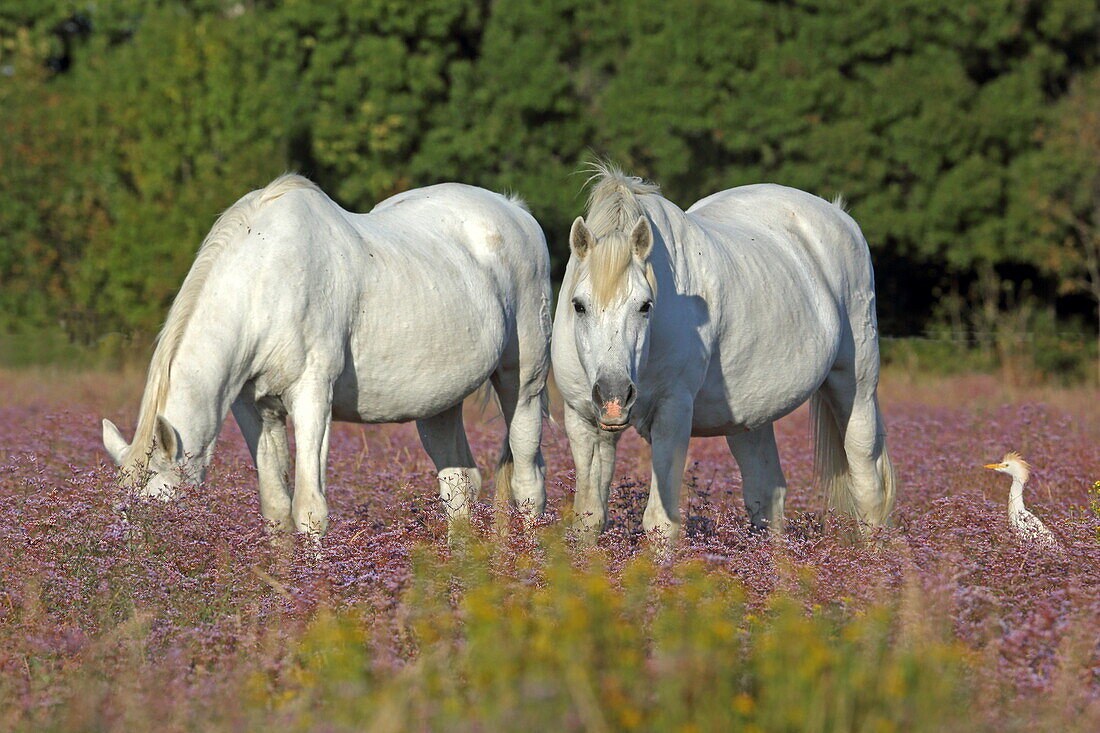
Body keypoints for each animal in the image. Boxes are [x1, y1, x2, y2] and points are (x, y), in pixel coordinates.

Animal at [102, 173, 550, 534]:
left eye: (164, 510)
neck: (265, 281)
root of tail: (516, 210)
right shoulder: (255, 409)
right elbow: (276, 509)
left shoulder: (313, 397)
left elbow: (309, 509)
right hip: (439, 402)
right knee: (459, 484)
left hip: (522, 384)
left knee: (528, 481)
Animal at [554, 162, 897, 539]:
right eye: (578, 305)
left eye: (645, 305)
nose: (614, 397)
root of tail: (839, 215)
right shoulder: (585, 421)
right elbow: (588, 519)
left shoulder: (672, 414)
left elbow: (661, 523)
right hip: (752, 418)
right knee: (768, 495)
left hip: (856, 391)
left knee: (868, 490)